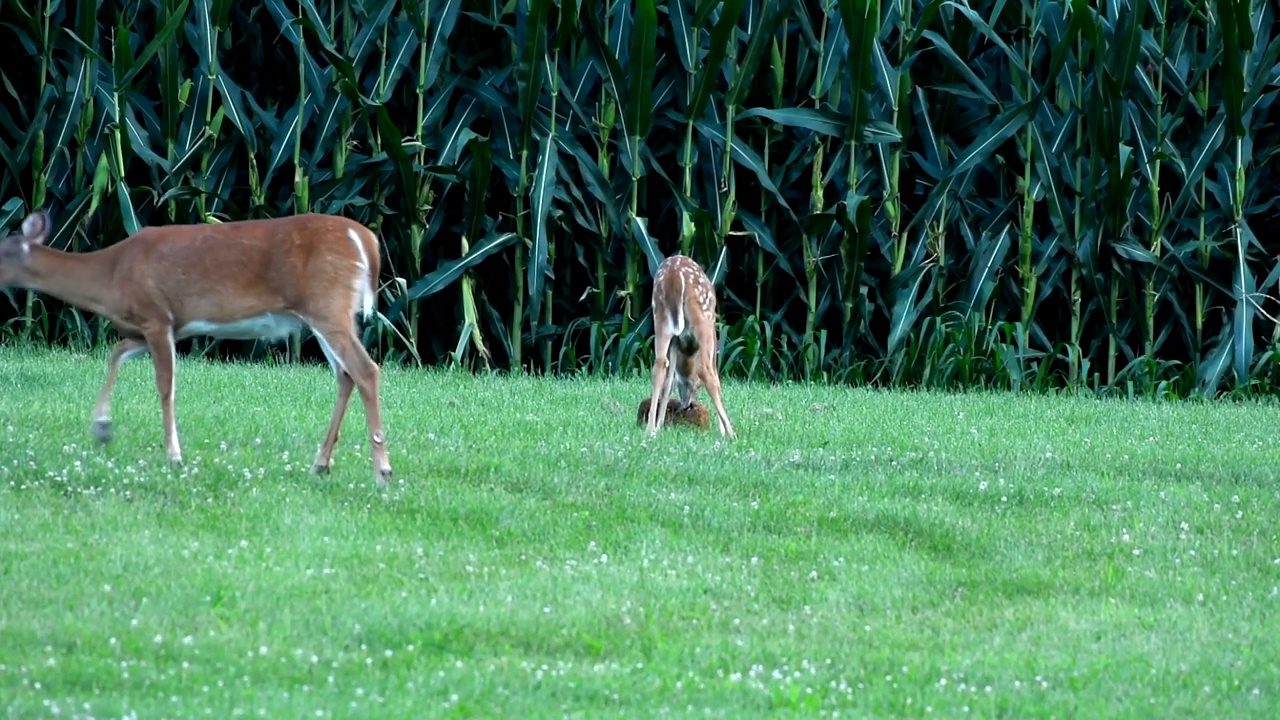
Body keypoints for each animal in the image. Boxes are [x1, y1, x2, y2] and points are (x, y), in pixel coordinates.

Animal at [0, 210, 394, 484]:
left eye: (1, 250)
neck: (111, 274)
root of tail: (365, 239)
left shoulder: (157, 317)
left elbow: (165, 387)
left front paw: (174, 455)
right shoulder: (147, 326)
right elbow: (116, 353)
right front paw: (102, 428)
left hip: (327, 304)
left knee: (365, 370)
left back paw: (382, 470)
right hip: (328, 313)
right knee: (345, 375)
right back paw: (321, 464)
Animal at [645, 254, 737, 440]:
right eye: (697, 385)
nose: (688, 405)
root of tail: (673, 275)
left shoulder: (675, 341)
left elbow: (669, 381)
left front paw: (659, 426)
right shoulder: (713, 330)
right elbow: (716, 374)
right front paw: (722, 430)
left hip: (660, 316)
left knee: (659, 364)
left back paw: (650, 430)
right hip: (702, 318)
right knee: (706, 370)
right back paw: (732, 434)